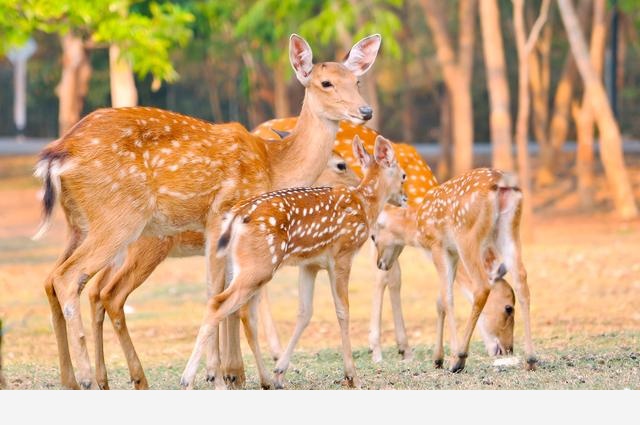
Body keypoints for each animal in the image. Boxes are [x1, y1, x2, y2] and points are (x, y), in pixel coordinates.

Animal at [32, 33, 380, 390]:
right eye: (326, 82)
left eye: (356, 80)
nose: (365, 111)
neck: (273, 166)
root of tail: (57, 154)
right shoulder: (221, 215)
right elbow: (221, 295)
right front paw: (224, 375)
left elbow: (223, 294)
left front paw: (229, 373)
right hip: (120, 219)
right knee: (74, 280)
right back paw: (91, 378)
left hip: (79, 224)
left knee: (54, 280)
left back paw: (76, 380)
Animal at [179, 136, 410, 388]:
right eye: (403, 175)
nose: (405, 198)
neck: (365, 205)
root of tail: (235, 217)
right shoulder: (342, 254)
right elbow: (343, 311)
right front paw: (352, 376)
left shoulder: (310, 264)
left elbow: (304, 312)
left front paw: (280, 372)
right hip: (259, 265)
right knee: (220, 304)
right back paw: (188, 379)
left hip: (239, 266)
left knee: (239, 311)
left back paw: (261, 379)